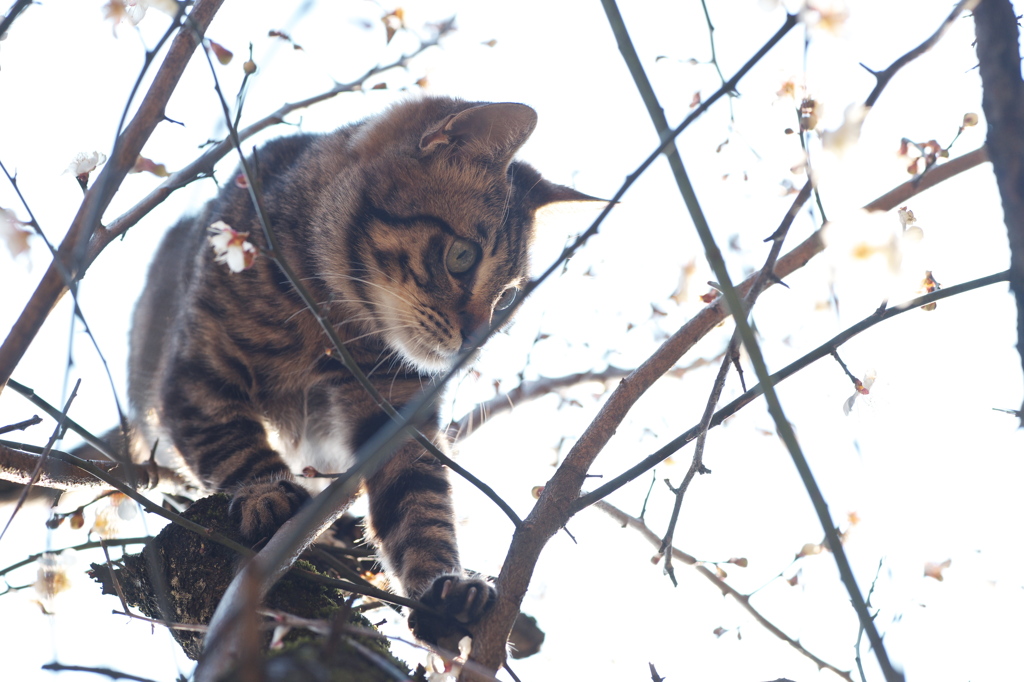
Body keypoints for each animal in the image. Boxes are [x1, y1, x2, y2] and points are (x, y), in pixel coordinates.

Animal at [128, 95, 593, 643]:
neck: (333, 328)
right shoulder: (197, 373)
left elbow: (420, 503)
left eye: (507, 299)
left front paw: (443, 586)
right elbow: (230, 441)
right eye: (462, 256)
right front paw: (266, 490)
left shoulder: (396, 415)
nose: (475, 342)